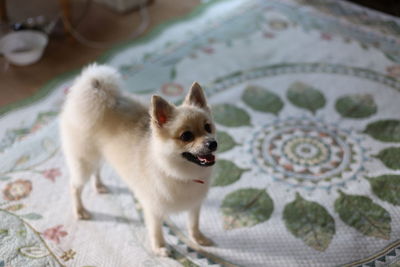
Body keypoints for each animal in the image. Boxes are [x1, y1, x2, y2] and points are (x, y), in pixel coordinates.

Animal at [59, 65, 217, 258]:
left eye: (208, 127)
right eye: (186, 136)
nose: (212, 143)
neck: (177, 172)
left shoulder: (194, 205)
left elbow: (193, 224)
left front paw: (199, 239)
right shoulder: (154, 209)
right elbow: (156, 230)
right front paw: (160, 248)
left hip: (97, 156)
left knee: (96, 170)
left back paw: (99, 185)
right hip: (83, 162)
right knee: (75, 187)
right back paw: (80, 210)